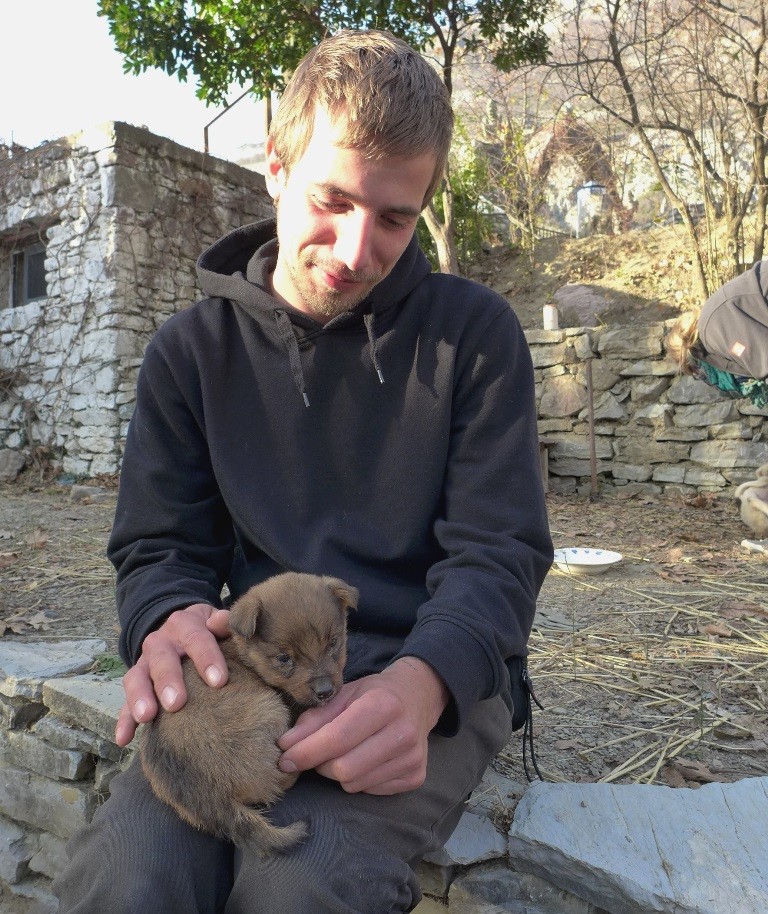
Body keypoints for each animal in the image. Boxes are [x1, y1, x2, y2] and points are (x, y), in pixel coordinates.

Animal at [140, 572, 356, 852]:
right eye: (284, 658)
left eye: (333, 643)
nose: (325, 691)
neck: (244, 656)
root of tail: (214, 799)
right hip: (271, 710)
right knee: (279, 780)